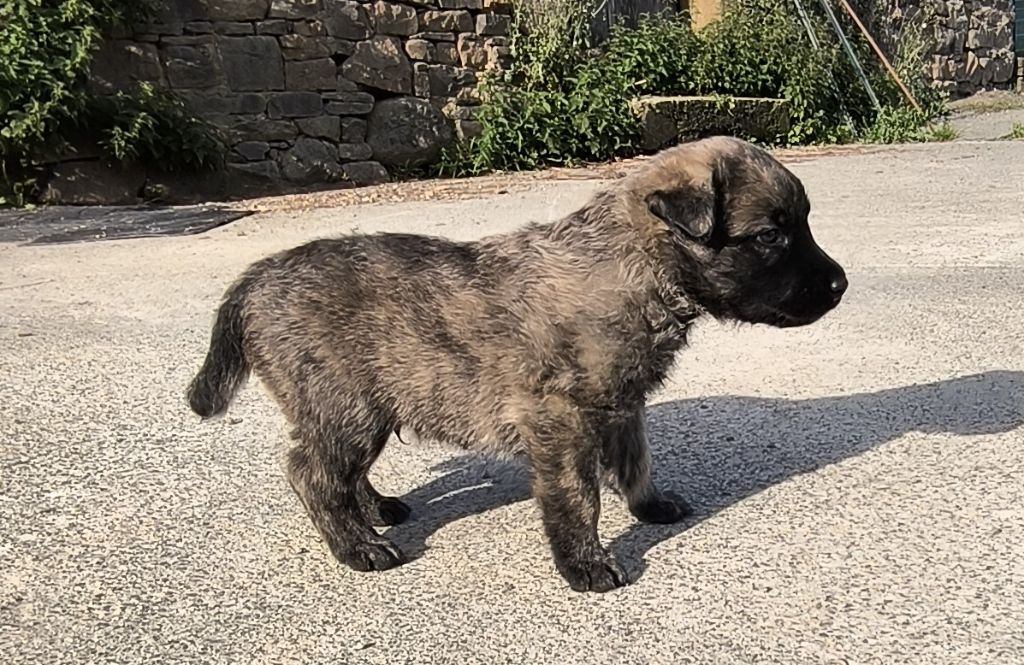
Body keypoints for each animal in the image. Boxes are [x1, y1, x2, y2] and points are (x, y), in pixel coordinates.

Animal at [186, 135, 847, 590]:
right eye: (770, 236)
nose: (841, 285)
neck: (637, 268)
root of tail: (252, 279)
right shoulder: (561, 420)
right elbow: (577, 497)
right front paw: (584, 563)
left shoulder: (621, 405)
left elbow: (636, 462)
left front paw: (650, 505)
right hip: (345, 405)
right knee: (313, 473)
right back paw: (357, 547)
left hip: (363, 406)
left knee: (339, 471)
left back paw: (375, 511)